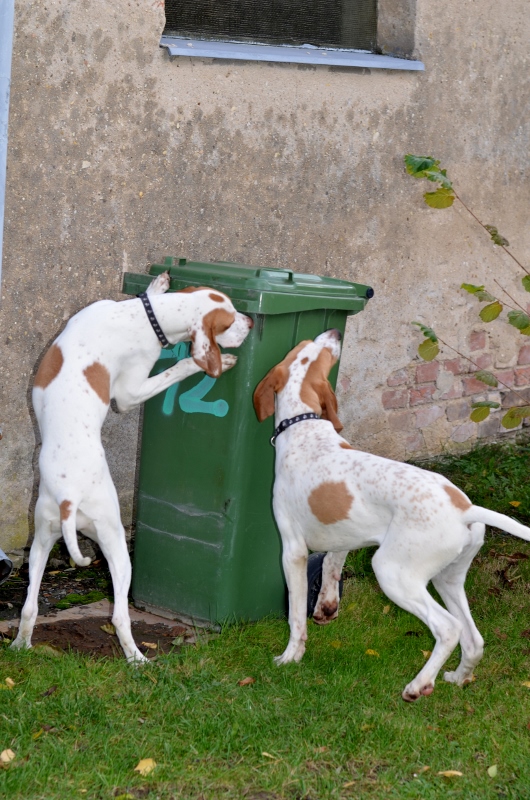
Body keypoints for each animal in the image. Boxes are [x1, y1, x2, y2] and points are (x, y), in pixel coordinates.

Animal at [12, 272, 253, 662]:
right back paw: (137, 658)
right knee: (119, 615)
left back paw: (21, 645)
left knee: (30, 605)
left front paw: (158, 283)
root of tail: (69, 496)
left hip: (41, 542)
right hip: (117, 547)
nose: (251, 322)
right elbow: (176, 368)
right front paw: (211, 363)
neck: (143, 315)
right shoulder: (129, 394)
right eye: (230, 322)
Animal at [253, 329, 530, 701]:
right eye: (310, 346)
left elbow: (296, 616)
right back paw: (457, 678)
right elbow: (330, 568)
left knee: (449, 628)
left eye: (321, 353)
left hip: (392, 572)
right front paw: (327, 608)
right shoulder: (345, 536)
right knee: (473, 640)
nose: (335, 332)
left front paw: (290, 656)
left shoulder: (293, 550)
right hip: (447, 578)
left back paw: (418, 685)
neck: (305, 426)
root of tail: (466, 507)